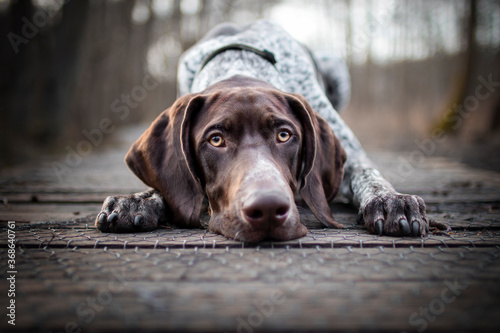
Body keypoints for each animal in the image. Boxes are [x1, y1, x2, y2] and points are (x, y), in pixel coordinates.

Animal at [95, 20, 428, 240]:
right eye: (216, 140)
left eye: (284, 135)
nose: (268, 207)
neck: (239, 65)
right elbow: (171, 184)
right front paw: (140, 199)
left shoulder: (352, 155)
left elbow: (368, 175)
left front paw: (390, 200)